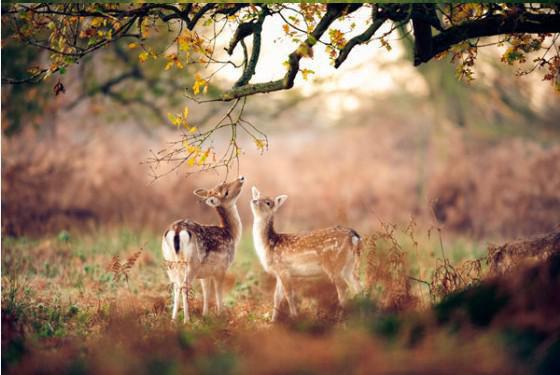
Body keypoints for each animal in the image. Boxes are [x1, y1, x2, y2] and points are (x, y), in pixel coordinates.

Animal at [160, 176, 243, 324]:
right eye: (226, 192)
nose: (241, 178)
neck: (231, 233)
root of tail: (176, 230)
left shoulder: (205, 273)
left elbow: (206, 291)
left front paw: (205, 315)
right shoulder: (221, 267)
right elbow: (218, 291)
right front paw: (221, 314)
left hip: (169, 261)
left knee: (175, 285)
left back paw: (173, 319)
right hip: (192, 262)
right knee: (184, 286)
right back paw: (187, 319)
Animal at [250, 187, 364, 322]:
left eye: (268, 202)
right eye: (257, 196)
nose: (254, 200)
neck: (270, 245)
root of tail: (354, 236)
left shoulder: (283, 268)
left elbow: (289, 295)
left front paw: (294, 317)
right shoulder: (278, 272)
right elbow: (276, 297)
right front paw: (273, 321)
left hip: (334, 263)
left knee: (343, 287)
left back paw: (341, 318)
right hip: (349, 265)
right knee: (358, 285)